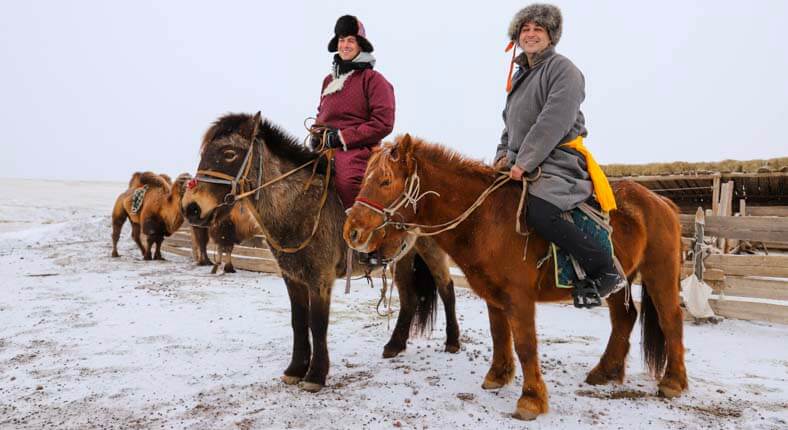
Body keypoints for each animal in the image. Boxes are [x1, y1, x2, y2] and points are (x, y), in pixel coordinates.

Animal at [342, 135, 688, 420]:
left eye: (385, 181)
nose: (352, 232)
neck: (487, 220)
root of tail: (661, 202)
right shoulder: (493, 295)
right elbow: (499, 334)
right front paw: (498, 376)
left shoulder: (519, 298)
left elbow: (525, 344)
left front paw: (531, 399)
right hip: (618, 280)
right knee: (624, 318)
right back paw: (606, 371)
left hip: (659, 272)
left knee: (670, 319)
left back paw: (673, 381)